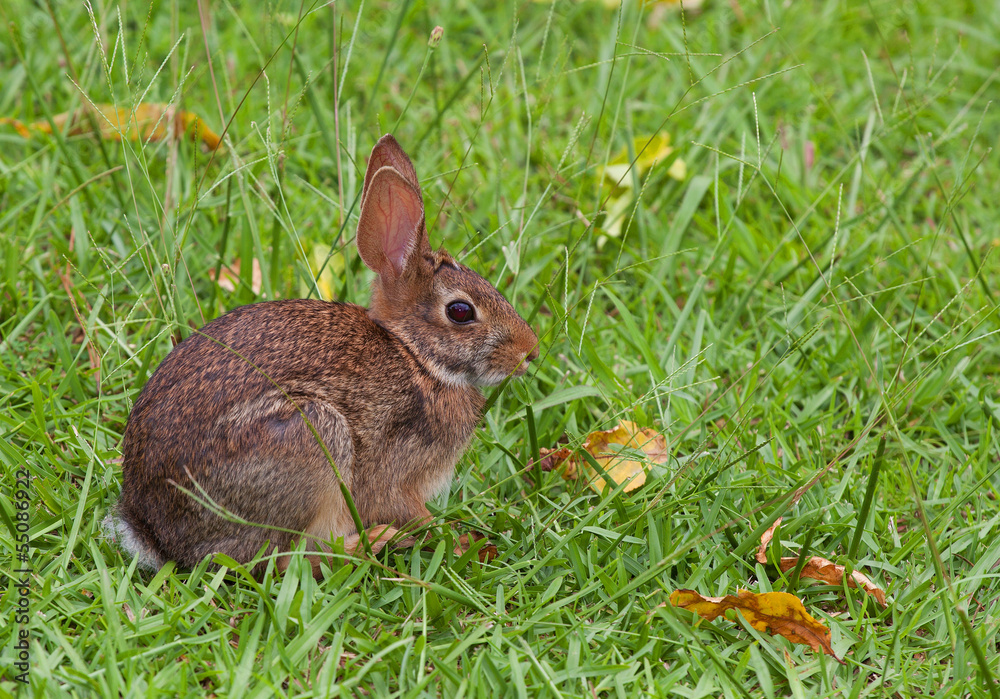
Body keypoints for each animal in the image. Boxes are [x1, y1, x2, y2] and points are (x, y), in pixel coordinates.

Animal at [108, 134, 539, 577]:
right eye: (460, 312)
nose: (530, 352)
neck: (416, 357)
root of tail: (155, 536)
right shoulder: (396, 474)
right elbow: (411, 511)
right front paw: (461, 540)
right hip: (311, 437)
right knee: (278, 562)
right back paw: (373, 545)